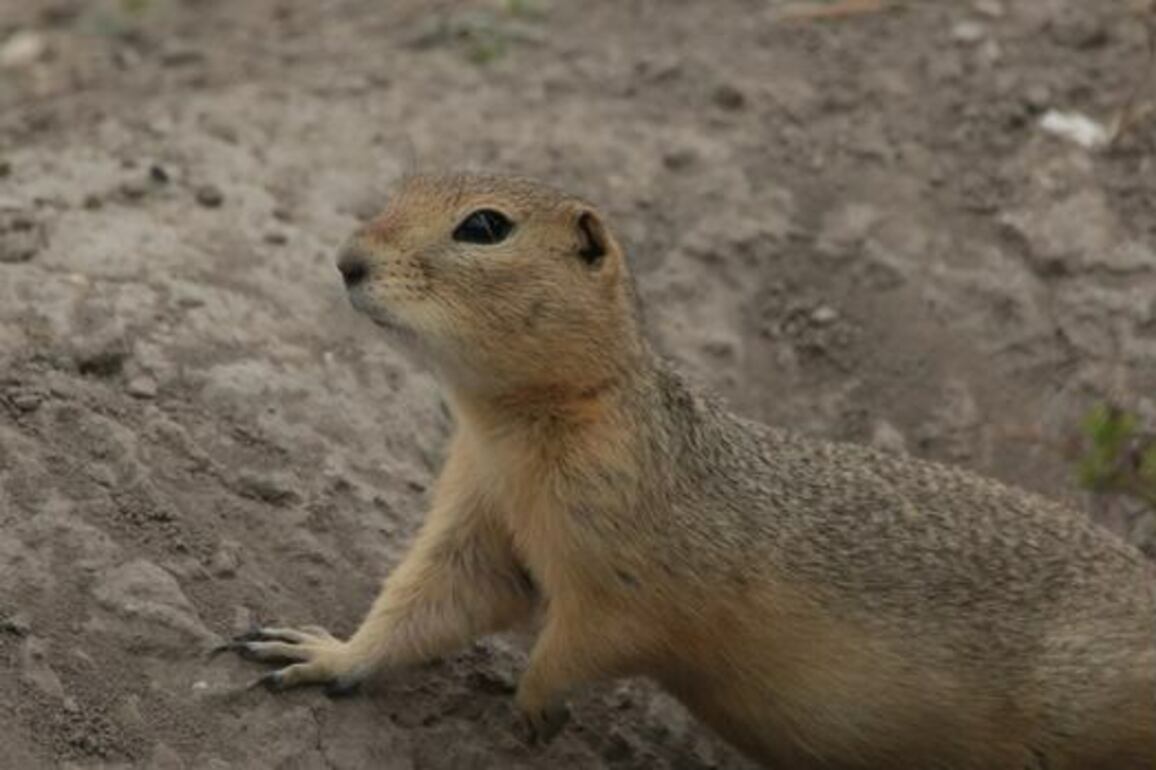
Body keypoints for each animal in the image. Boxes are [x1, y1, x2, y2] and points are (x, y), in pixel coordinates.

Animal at [218, 172, 1156, 769]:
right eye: (401, 189)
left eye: (484, 226)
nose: (346, 260)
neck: (528, 423)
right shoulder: (478, 510)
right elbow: (436, 598)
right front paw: (322, 654)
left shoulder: (634, 565)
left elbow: (593, 636)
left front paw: (534, 709)